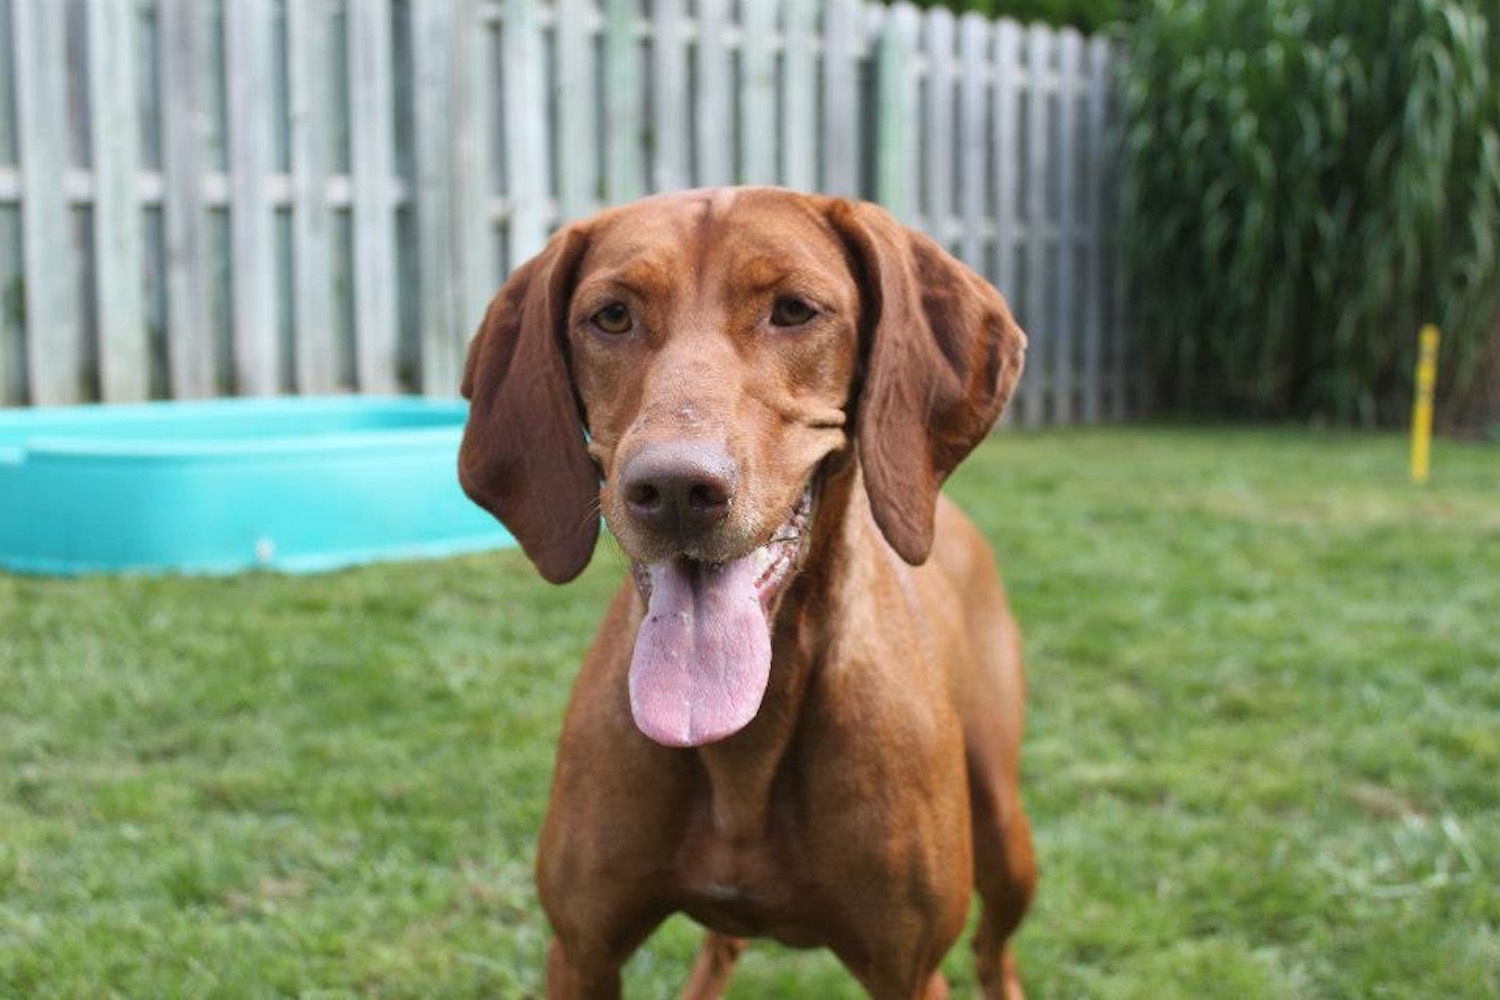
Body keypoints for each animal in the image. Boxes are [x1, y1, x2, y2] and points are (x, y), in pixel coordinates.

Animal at [462, 189, 1038, 1000]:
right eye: (612, 316)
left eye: (794, 309)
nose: (675, 490)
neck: (744, 749)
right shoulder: (580, 950)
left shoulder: (911, 969)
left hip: (1004, 826)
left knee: (993, 945)